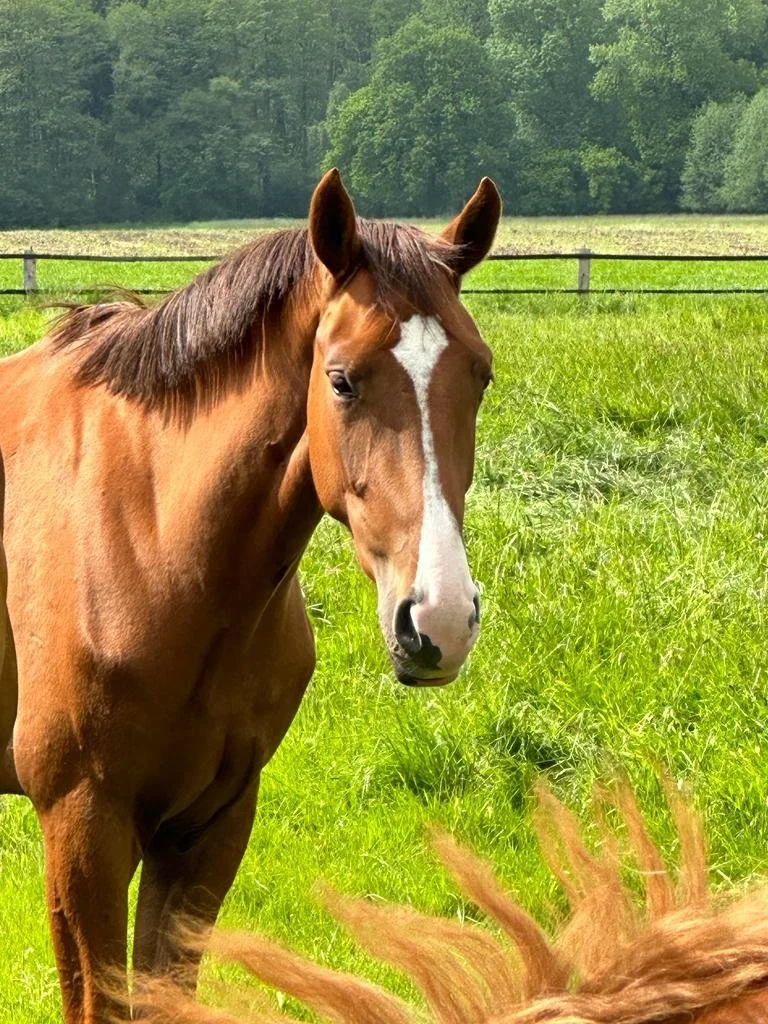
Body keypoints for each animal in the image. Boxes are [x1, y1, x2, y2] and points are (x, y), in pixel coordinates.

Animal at [0, 168, 501, 1023]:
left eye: (481, 373)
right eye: (341, 379)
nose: (439, 618)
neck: (150, 534)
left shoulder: (210, 826)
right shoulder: (81, 824)